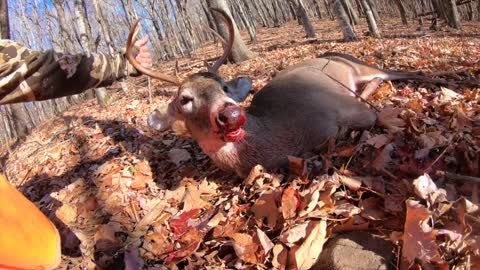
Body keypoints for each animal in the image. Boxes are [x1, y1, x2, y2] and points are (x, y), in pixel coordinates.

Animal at [125, 8, 434, 177]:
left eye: (223, 86)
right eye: (185, 100)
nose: (231, 114)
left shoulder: (342, 106)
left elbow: (377, 116)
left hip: (359, 67)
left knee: (399, 72)